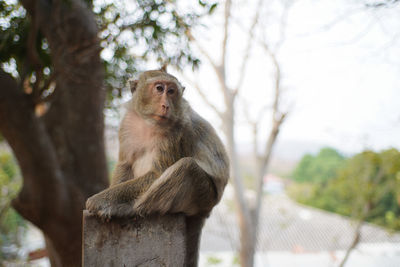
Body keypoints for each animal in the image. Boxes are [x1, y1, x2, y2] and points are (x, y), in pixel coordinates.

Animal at [86, 67, 230, 267]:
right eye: (159, 88)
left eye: (172, 91)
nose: (166, 105)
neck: (148, 124)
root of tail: (207, 211)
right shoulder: (127, 124)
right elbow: (125, 163)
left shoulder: (175, 131)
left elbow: (158, 173)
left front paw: (101, 200)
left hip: (204, 196)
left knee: (185, 168)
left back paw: (132, 208)